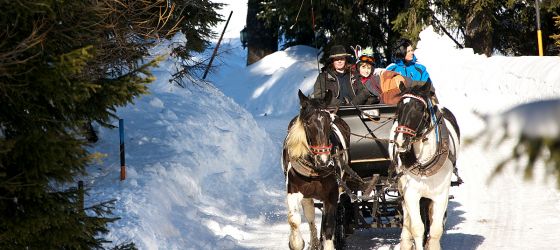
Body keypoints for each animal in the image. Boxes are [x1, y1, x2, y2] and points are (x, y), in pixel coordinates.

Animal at [282, 90, 348, 250]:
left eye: (329, 122)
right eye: (307, 123)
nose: (323, 159)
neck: (315, 168)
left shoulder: (332, 193)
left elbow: (329, 225)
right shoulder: (292, 189)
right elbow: (294, 219)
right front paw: (296, 243)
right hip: (307, 194)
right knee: (310, 214)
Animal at [390, 83, 460, 249]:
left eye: (419, 108)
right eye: (398, 108)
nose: (400, 141)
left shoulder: (441, 194)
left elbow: (435, 229)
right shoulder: (411, 193)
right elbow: (417, 227)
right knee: (407, 217)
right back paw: (405, 241)